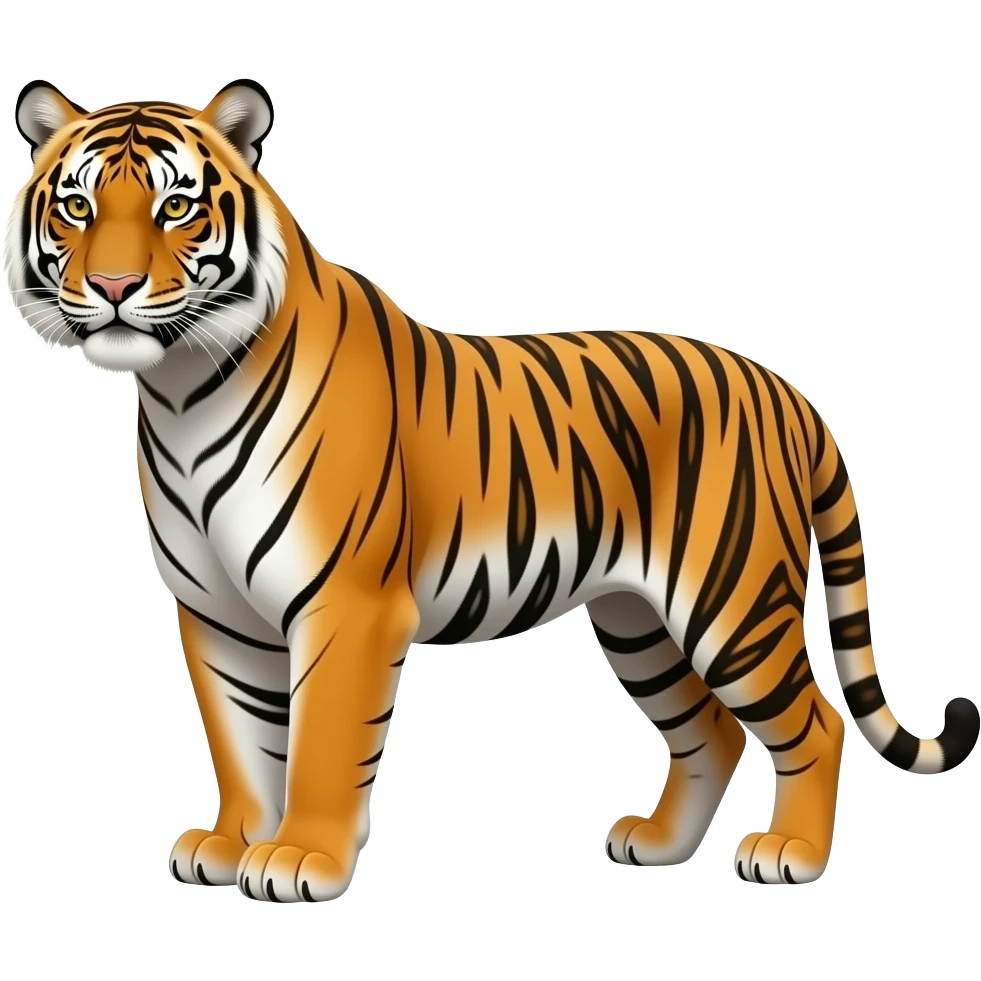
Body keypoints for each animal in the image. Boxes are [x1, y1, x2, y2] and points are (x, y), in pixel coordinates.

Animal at [4, 78, 978, 903]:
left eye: (175, 205)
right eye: (78, 205)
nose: (115, 286)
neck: (180, 389)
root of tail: (786, 390)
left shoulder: (346, 604)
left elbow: (318, 742)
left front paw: (300, 857)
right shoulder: (214, 612)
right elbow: (241, 739)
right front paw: (232, 842)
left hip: (729, 601)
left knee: (811, 721)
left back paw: (792, 856)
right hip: (638, 619)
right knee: (713, 730)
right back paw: (657, 845)